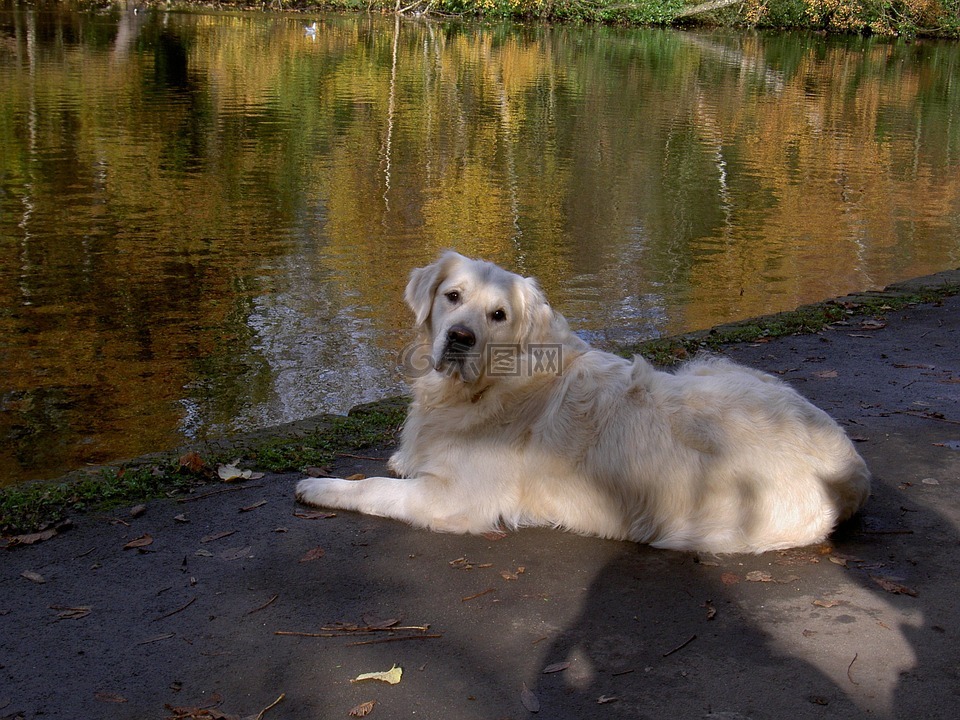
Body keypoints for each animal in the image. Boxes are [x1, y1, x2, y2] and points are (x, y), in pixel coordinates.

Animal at [294, 250, 872, 556]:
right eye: (452, 297)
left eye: (499, 315)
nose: (459, 338)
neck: (488, 387)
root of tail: (854, 469)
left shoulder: (456, 500)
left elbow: (372, 486)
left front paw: (320, 486)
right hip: (708, 364)